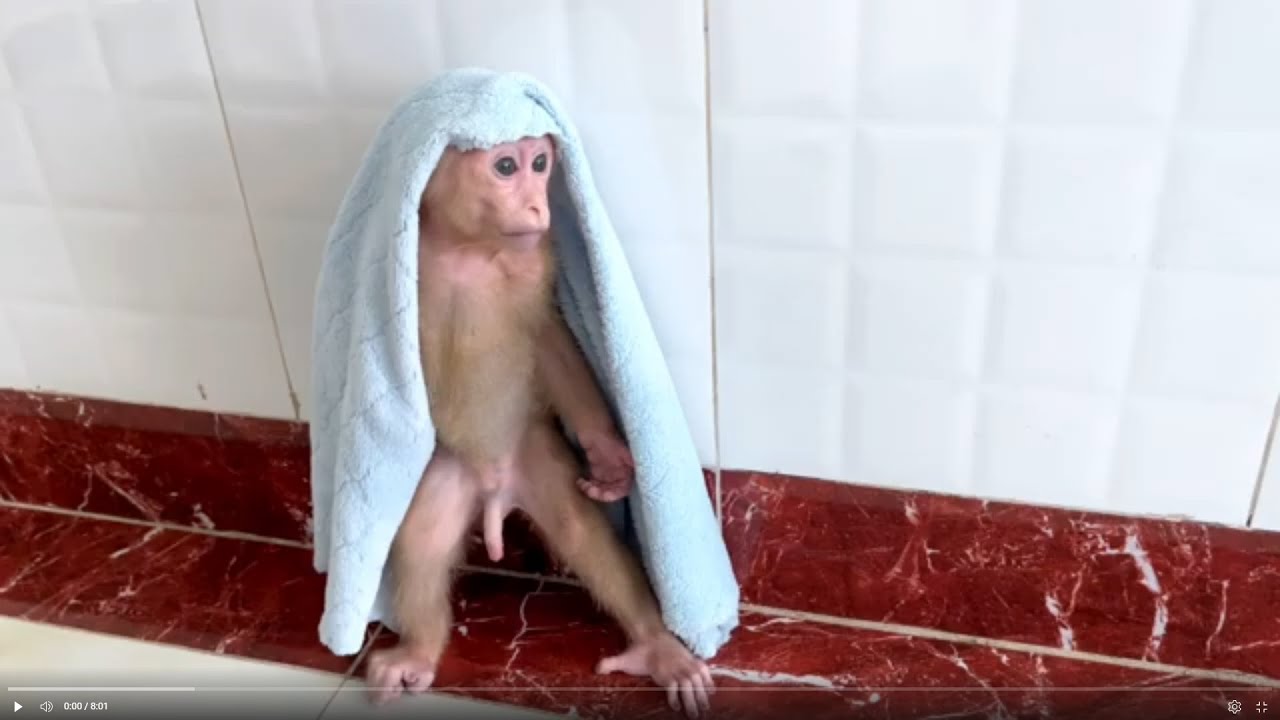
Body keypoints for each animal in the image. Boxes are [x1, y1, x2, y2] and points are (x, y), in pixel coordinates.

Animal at [364, 134, 715, 717]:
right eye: (506, 166)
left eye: (542, 164)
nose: (537, 205)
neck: (469, 252)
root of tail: (496, 494)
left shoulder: (535, 260)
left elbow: (549, 337)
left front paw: (609, 458)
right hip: (454, 468)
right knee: (421, 537)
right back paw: (418, 652)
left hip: (533, 453)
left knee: (580, 529)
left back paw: (656, 646)